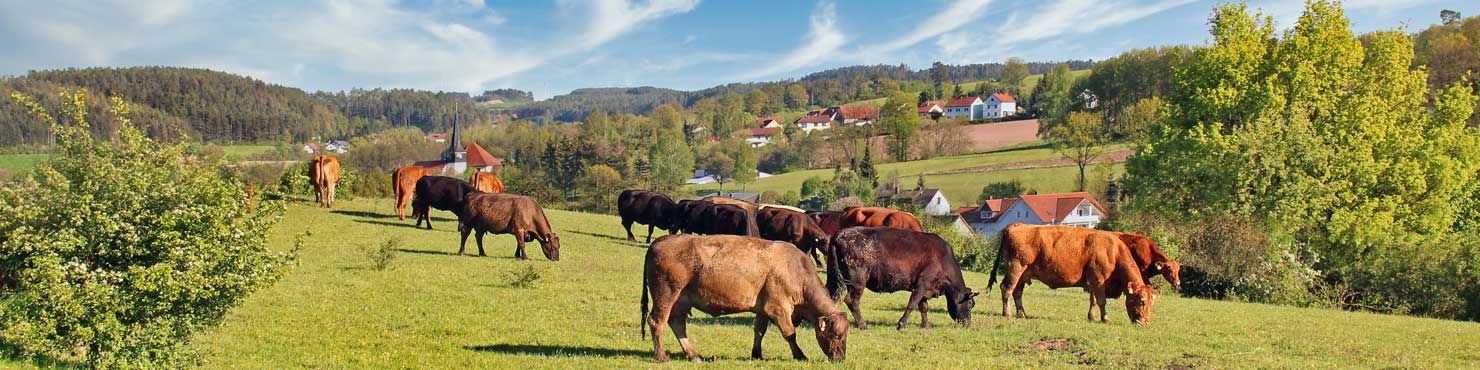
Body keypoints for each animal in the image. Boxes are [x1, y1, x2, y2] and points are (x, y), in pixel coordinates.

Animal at [642, 235, 852, 362]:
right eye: (836, 335)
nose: (840, 358)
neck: (794, 270)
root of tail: (659, 241)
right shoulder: (779, 308)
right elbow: (790, 334)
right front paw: (800, 355)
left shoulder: (763, 309)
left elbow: (759, 331)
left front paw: (757, 354)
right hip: (666, 295)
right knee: (656, 322)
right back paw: (661, 356)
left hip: (681, 301)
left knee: (677, 324)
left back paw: (693, 355)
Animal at [828, 226, 976, 331]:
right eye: (970, 304)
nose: (968, 323)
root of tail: (841, 233)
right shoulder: (923, 284)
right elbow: (912, 304)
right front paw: (902, 324)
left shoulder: (925, 288)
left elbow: (923, 307)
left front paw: (926, 325)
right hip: (858, 281)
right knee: (852, 301)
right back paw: (863, 325)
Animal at [988, 222, 1160, 324]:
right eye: (1142, 301)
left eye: (1152, 303)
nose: (1145, 322)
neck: (1113, 252)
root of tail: (1017, 225)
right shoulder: (1098, 279)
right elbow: (1102, 301)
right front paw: (1105, 318)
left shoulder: (1093, 280)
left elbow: (1093, 300)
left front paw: (1092, 317)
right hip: (1016, 267)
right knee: (1007, 288)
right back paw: (1007, 313)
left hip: (1023, 273)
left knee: (1017, 292)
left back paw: (1022, 314)